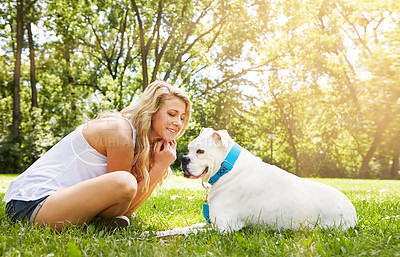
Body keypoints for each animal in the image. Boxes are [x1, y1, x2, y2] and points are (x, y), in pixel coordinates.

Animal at [181, 128, 356, 230]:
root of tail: (353, 213)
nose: (183, 158)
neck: (227, 168)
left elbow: (186, 231)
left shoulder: (223, 227)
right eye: (189, 148)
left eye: (200, 151)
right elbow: (190, 227)